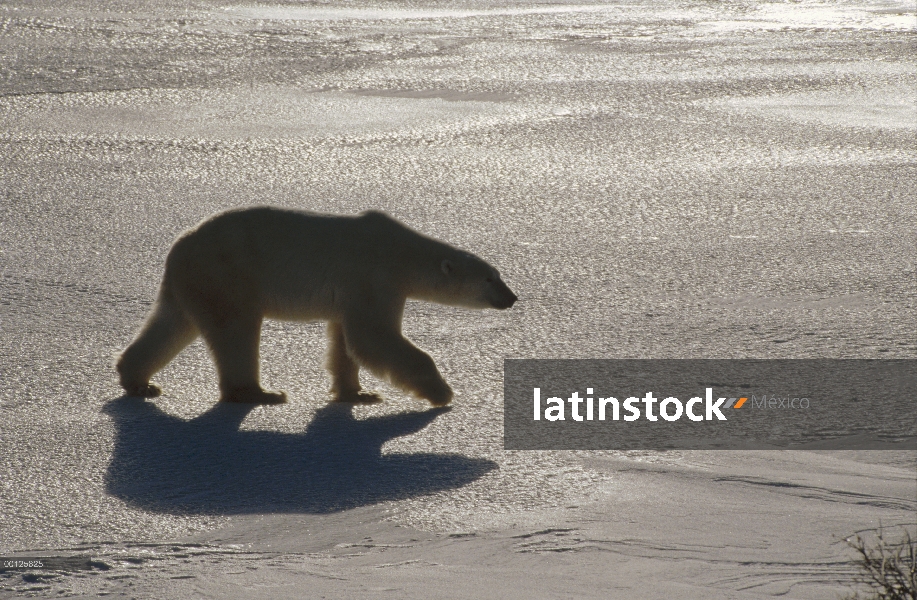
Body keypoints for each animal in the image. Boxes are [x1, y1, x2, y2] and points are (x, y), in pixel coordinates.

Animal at [115, 207, 516, 408]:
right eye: (490, 279)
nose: (511, 297)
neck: (402, 252)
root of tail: (177, 246)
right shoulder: (374, 276)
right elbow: (375, 336)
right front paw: (442, 392)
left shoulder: (355, 291)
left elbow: (346, 341)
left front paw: (358, 393)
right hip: (227, 273)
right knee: (236, 330)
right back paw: (260, 393)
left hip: (192, 283)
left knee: (171, 324)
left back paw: (138, 381)